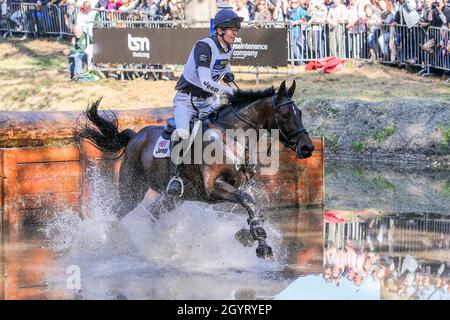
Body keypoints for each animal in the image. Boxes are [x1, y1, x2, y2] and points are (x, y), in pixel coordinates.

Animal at [77, 80, 314, 260]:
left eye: (300, 112)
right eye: (285, 114)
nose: (307, 148)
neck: (234, 136)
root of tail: (135, 136)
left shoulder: (241, 185)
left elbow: (252, 204)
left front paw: (253, 238)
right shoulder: (212, 189)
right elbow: (247, 201)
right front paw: (259, 241)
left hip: (173, 198)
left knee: (154, 212)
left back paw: (159, 248)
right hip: (132, 191)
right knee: (117, 212)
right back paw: (107, 243)